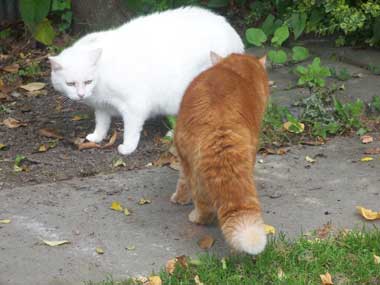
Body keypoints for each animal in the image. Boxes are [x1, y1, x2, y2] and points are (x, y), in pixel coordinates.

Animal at [49, 6, 243, 154]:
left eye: (88, 81)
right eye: (70, 84)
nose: (81, 95)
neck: (102, 72)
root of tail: (231, 31)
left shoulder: (134, 105)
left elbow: (131, 131)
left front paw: (128, 148)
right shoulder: (101, 105)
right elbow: (102, 123)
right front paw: (97, 137)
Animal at [172, 51, 270, 253]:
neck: (236, 70)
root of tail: (220, 125)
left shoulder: (182, 157)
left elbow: (182, 181)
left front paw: (179, 198)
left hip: (193, 167)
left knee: (204, 206)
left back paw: (195, 216)